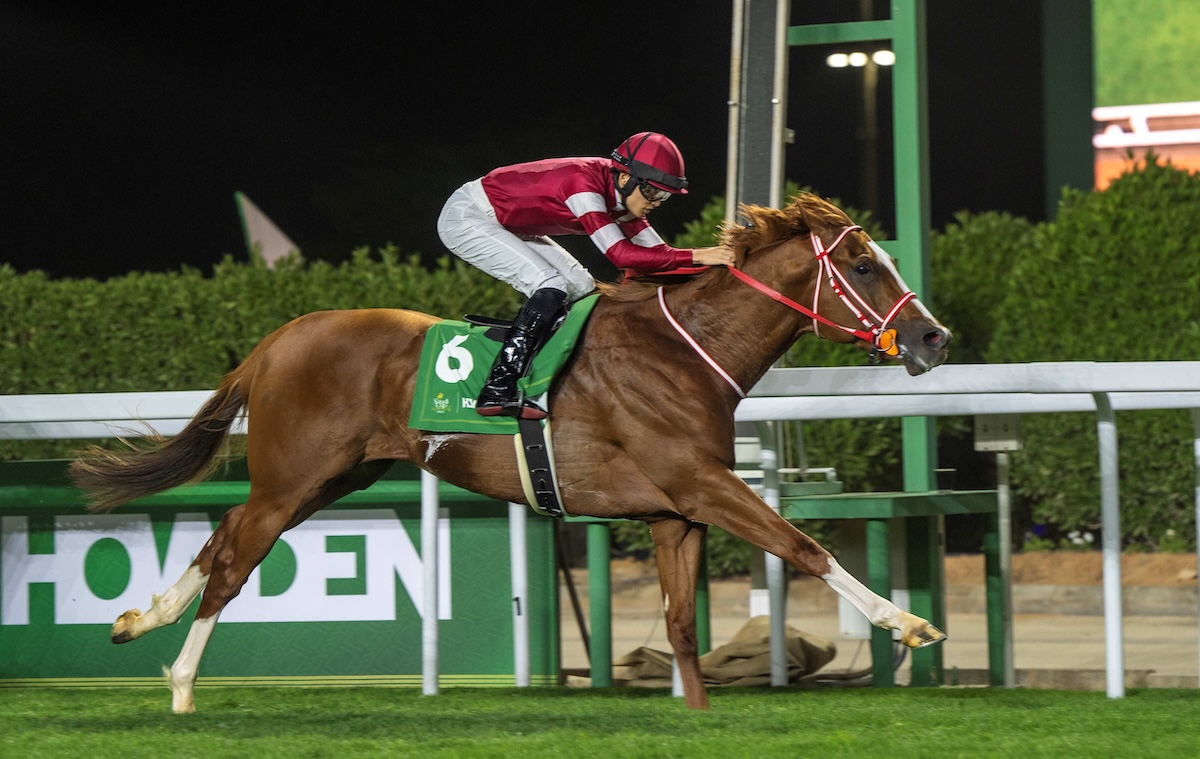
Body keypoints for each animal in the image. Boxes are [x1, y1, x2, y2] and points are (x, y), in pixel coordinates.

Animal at [72, 194, 955, 710]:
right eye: (862, 264)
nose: (933, 338)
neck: (685, 350)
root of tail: (276, 340)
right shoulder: (701, 482)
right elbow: (801, 545)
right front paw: (909, 622)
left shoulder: (675, 511)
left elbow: (679, 622)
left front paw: (697, 714)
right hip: (293, 477)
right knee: (233, 559)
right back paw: (181, 684)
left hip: (333, 477)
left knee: (223, 538)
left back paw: (137, 620)